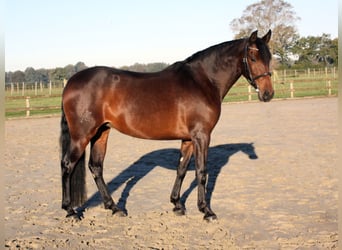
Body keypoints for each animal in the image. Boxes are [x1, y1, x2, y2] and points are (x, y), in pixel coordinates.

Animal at [58, 29, 272, 221]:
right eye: (253, 58)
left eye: (269, 57)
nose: (268, 94)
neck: (203, 81)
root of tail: (71, 82)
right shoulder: (202, 136)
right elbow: (201, 172)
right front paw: (206, 211)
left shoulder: (188, 139)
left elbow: (182, 169)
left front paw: (177, 204)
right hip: (82, 135)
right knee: (67, 164)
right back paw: (70, 211)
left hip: (101, 132)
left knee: (96, 167)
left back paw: (114, 208)